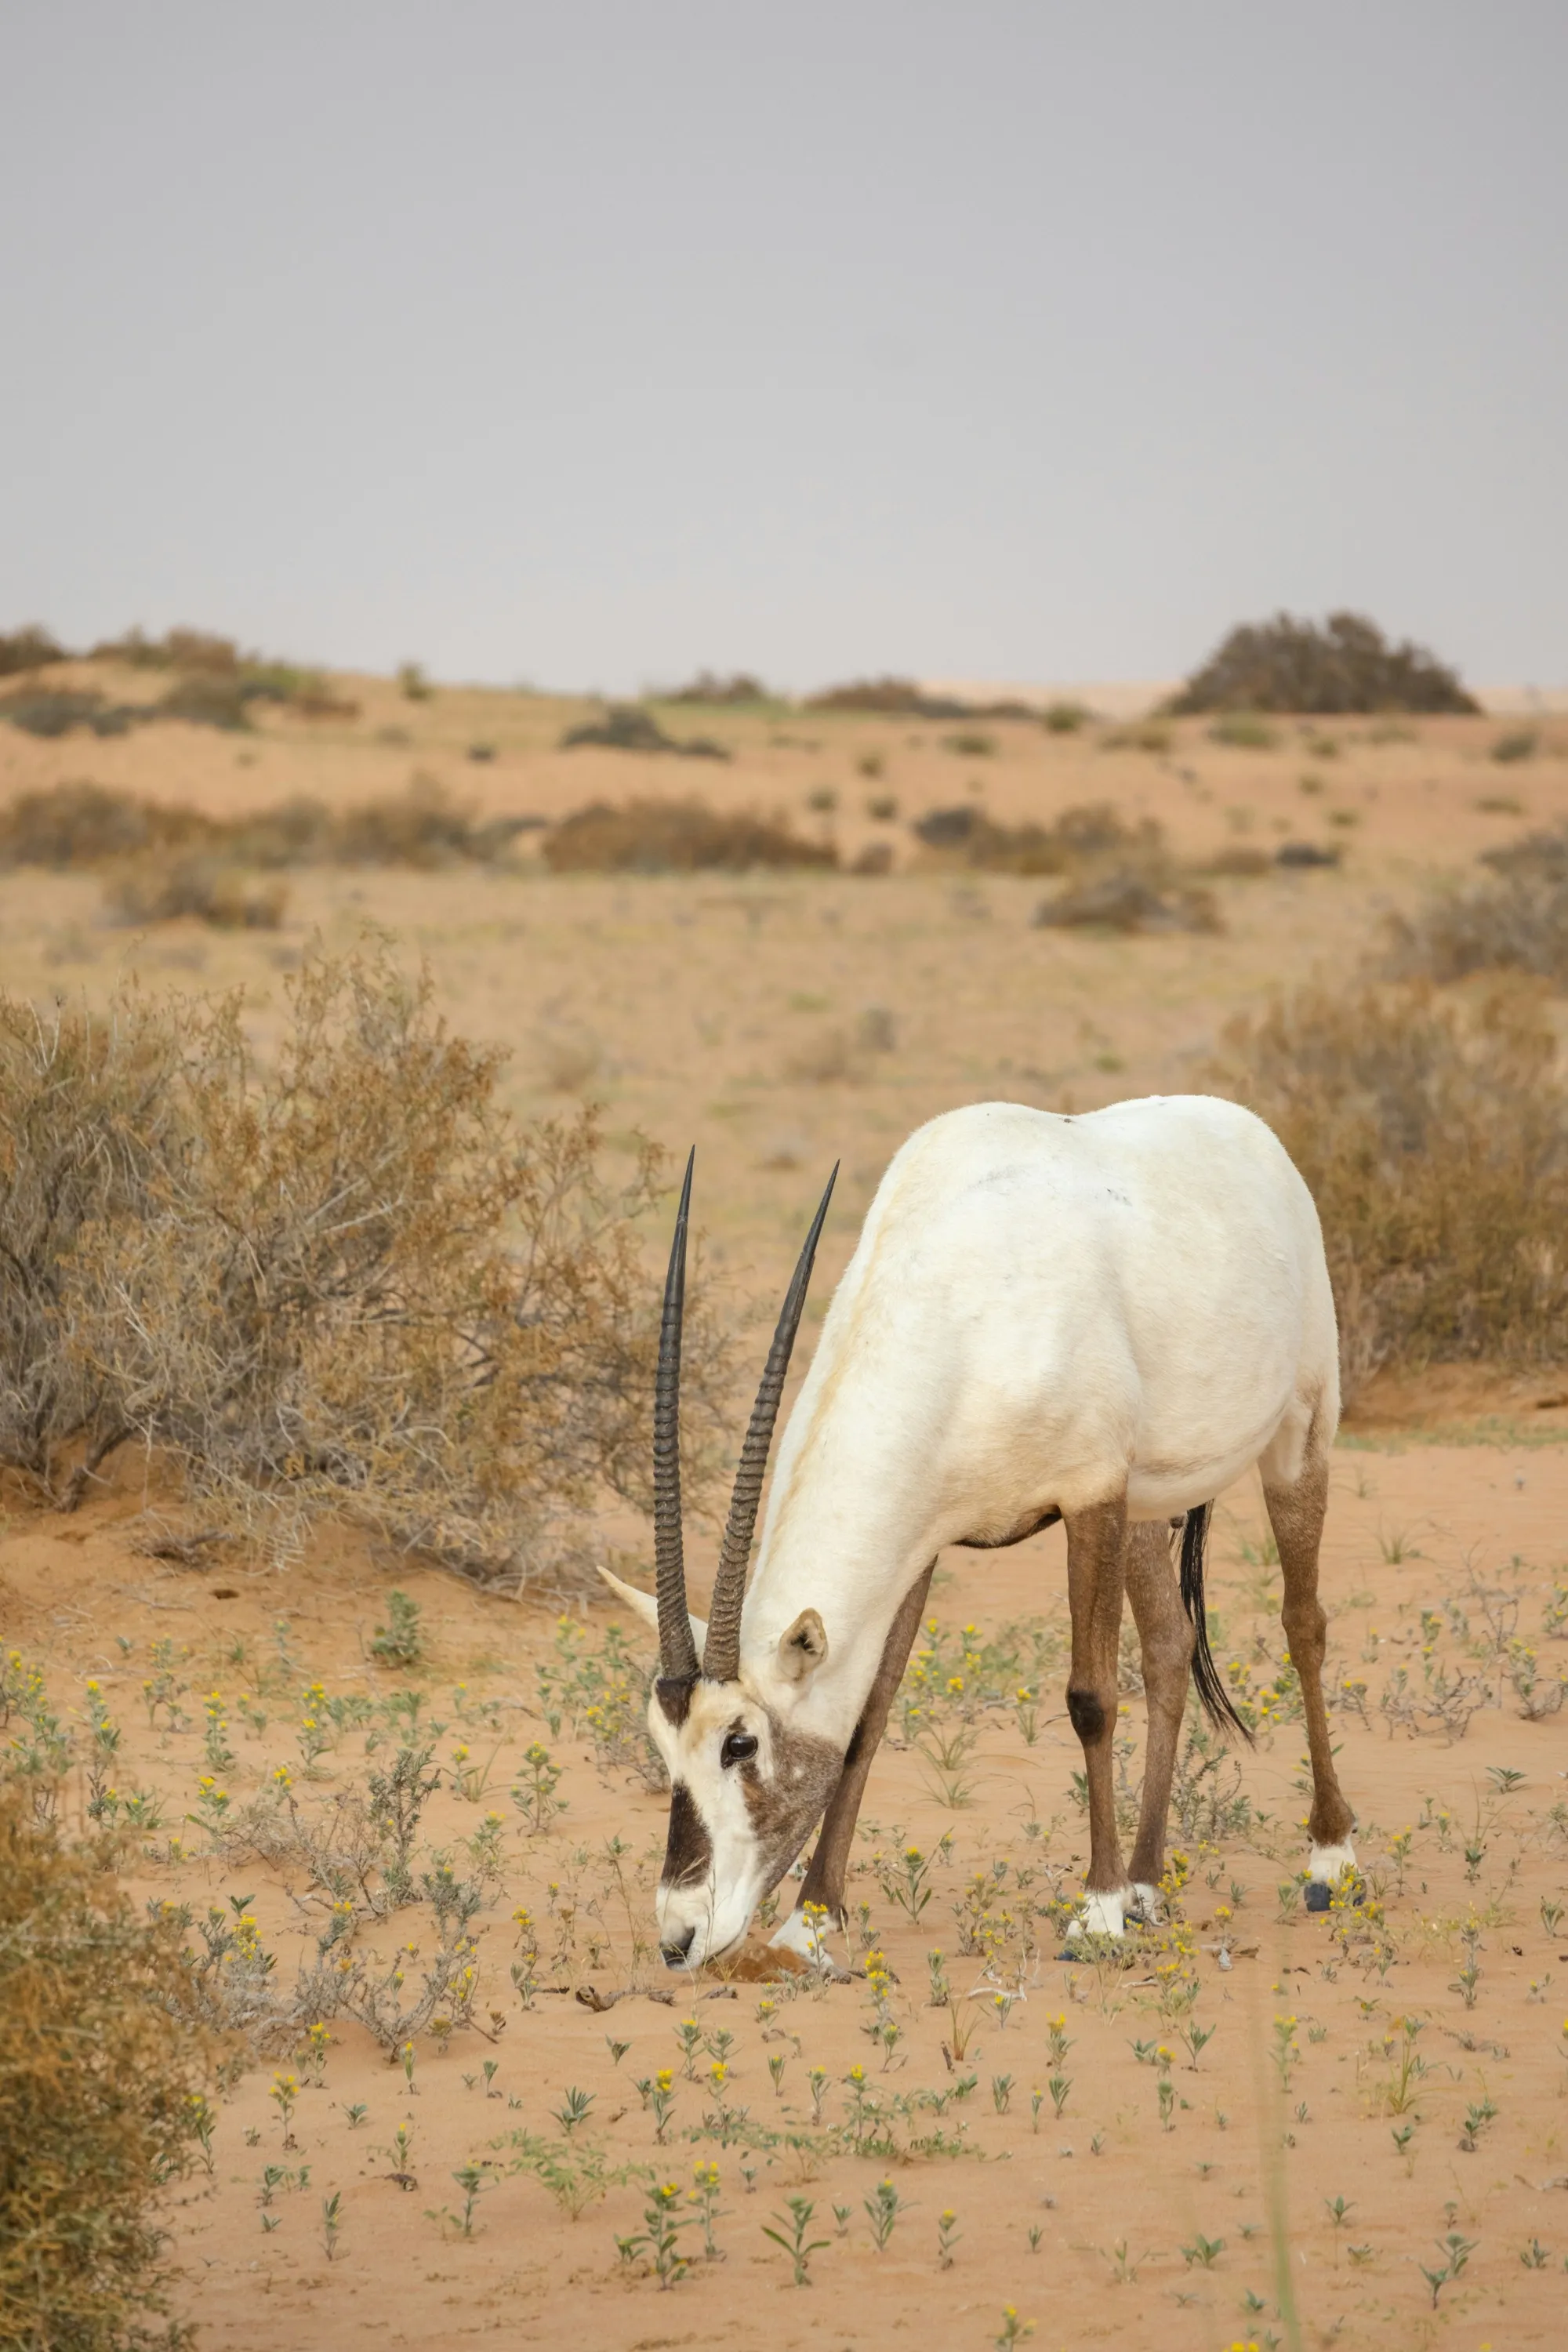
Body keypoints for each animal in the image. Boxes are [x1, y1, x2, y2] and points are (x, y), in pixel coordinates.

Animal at [601, 1096, 1356, 1968]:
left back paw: (1328, 1859)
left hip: (1300, 1431)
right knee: (1170, 1648)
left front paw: (1094, 1909)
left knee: (1303, 1626)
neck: (962, 1307)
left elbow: (1091, 1697)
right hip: (1145, 1506)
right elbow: (871, 1712)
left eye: (740, 1743)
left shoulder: (1089, 1495)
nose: (678, 1936)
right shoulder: (921, 1542)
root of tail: (1247, 1129)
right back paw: (1145, 1884)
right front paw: (810, 1922)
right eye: (663, 1744)